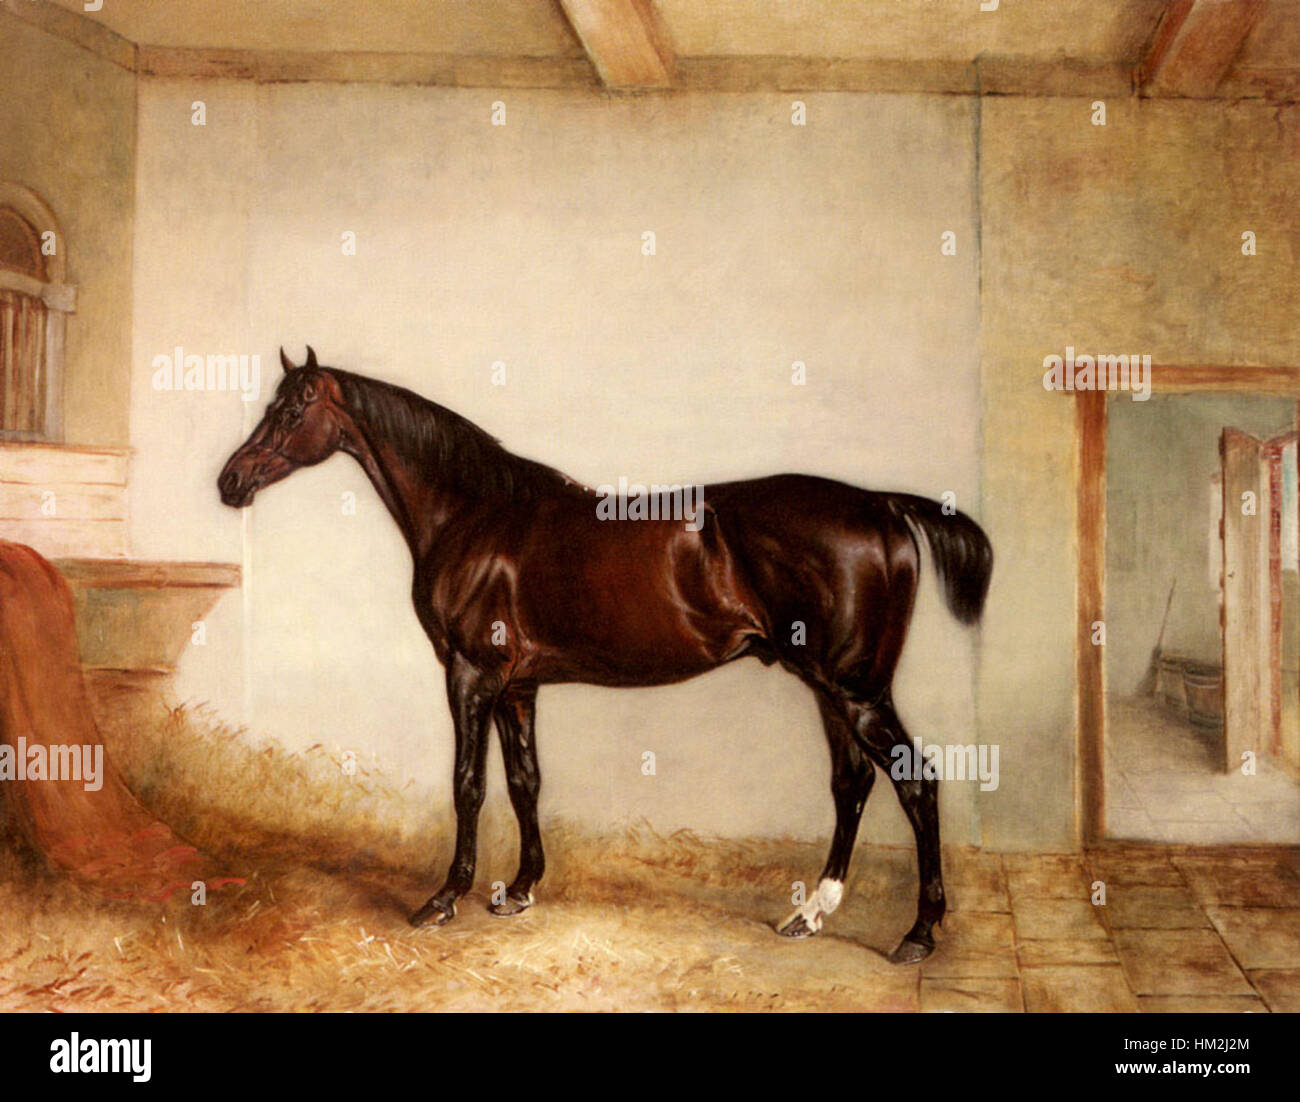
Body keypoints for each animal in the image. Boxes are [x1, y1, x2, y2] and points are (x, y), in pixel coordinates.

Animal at [218, 347, 992, 964]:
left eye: (292, 411)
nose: (230, 482)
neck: (476, 515)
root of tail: (882, 507)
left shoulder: (470, 675)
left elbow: (468, 784)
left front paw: (443, 898)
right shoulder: (518, 686)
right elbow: (525, 781)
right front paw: (520, 890)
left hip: (856, 687)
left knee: (916, 784)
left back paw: (918, 933)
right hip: (828, 685)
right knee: (852, 783)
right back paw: (808, 914)